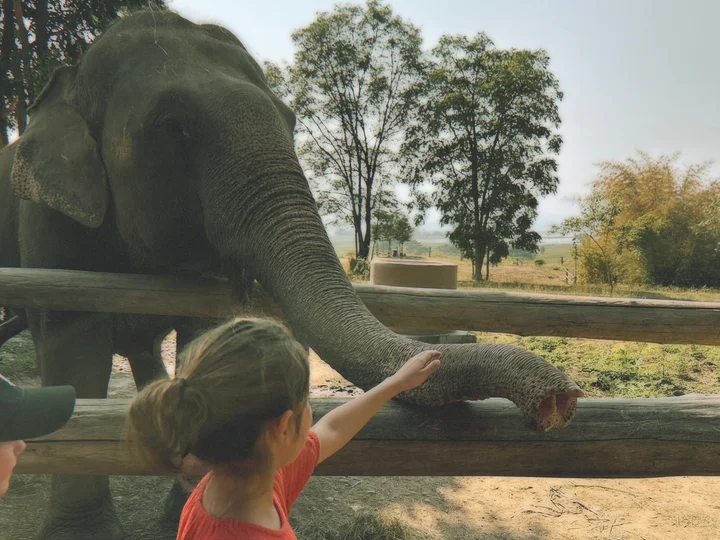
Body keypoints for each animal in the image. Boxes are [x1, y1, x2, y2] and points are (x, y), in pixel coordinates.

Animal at [0, 9, 582, 539]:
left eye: (292, 120)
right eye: (172, 126)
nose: (559, 401)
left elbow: (199, 329)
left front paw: (178, 509)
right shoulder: (46, 220)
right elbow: (73, 343)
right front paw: (83, 533)